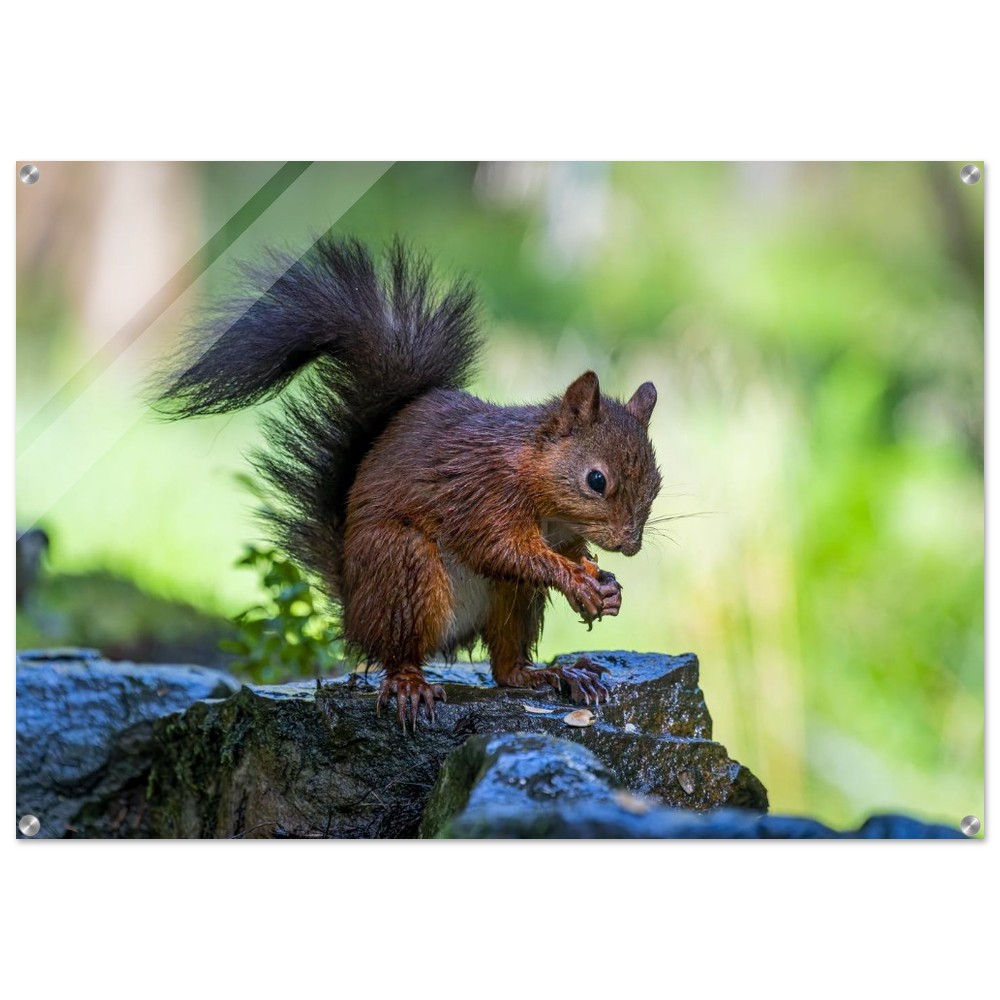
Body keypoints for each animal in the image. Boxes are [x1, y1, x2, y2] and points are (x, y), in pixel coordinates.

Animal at [156, 236, 662, 729]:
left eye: (656, 482)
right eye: (596, 480)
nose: (631, 545)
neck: (539, 487)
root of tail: (354, 609)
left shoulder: (559, 531)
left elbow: (566, 553)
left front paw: (605, 585)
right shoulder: (482, 495)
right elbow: (503, 549)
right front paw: (577, 580)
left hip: (512, 599)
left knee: (506, 665)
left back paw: (554, 674)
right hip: (403, 569)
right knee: (400, 650)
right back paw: (410, 683)